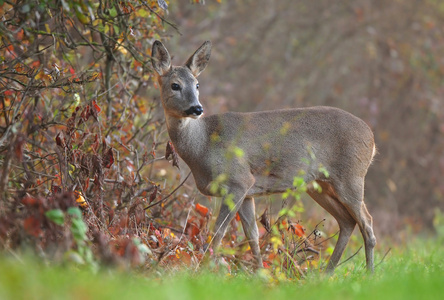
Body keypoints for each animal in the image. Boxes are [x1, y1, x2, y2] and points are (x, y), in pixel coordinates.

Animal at [151, 39, 376, 272]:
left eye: (197, 85)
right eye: (175, 85)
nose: (197, 108)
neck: (203, 145)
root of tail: (371, 137)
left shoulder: (239, 180)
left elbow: (219, 232)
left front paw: (203, 269)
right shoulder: (248, 191)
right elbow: (252, 236)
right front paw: (259, 273)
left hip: (351, 177)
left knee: (367, 223)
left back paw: (369, 274)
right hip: (319, 185)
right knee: (348, 221)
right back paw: (326, 273)